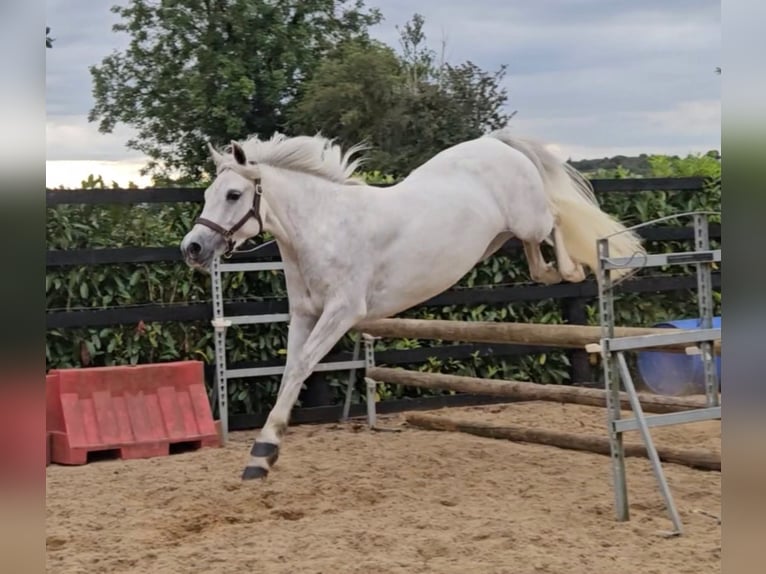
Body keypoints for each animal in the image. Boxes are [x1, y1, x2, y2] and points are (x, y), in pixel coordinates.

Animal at [180, 128, 644, 480]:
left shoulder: (341, 313)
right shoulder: (305, 315)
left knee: (557, 219)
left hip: (529, 217)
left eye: (234, 194)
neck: (323, 228)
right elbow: (291, 371)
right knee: (538, 259)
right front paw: (262, 456)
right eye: (208, 194)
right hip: (504, 233)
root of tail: (498, 143)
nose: (193, 248)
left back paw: (573, 270)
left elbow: (300, 369)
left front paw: (262, 452)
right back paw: (554, 272)